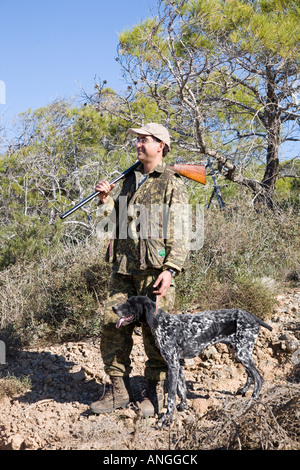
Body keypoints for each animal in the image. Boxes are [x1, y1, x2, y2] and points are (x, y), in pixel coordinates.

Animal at [112, 298, 272, 426]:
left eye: (131, 303)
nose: (113, 308)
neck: (162, 323)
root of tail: (253, 317)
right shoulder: (179, 364)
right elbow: (182, 388)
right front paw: (183, 405)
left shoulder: (173, 365)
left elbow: (171, 397)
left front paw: (167, 419)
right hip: (237, 352)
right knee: (250, 374)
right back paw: (243, 390)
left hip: (242, 353)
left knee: (259, 378)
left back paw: (252, 399)